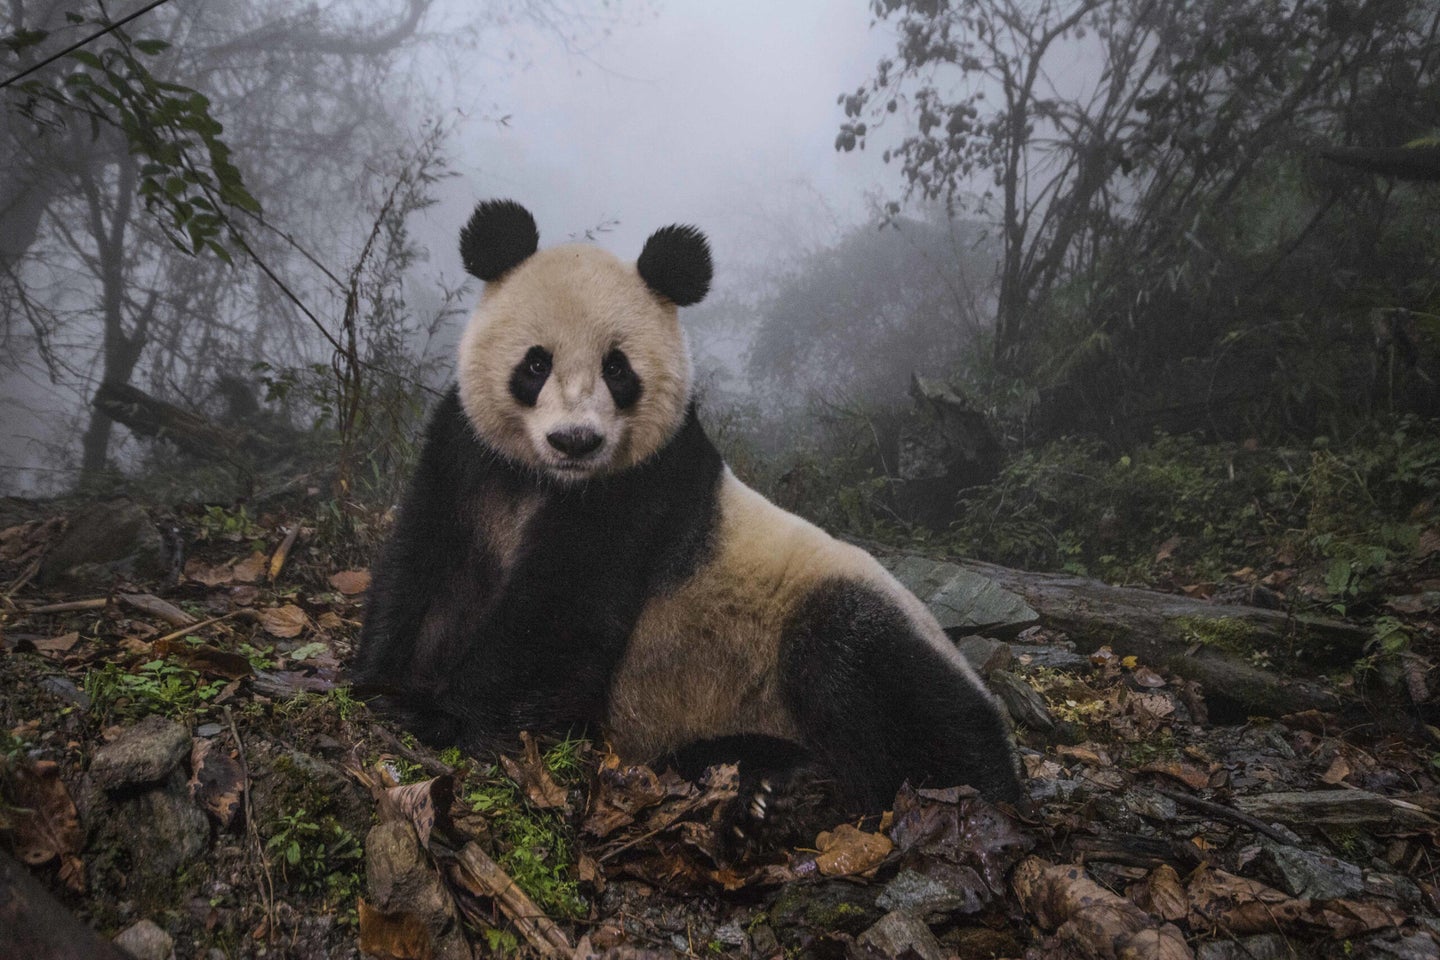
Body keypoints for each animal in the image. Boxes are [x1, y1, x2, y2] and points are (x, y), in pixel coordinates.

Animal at [352, 201, 1019, 846]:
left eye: (618, 369)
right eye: (535, 364)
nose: (575, 440)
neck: (548, 481)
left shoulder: (643, 489)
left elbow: (559, 616)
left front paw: (443, 715)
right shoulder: (467, 456)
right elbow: (425, 567)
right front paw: (380, 683)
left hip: (845, 618)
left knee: (879, 682)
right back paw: (767, 786)